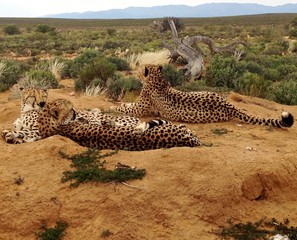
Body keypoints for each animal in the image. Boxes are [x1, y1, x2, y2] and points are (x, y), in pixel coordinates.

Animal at [111, 63, 294, 127]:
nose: (137, 67)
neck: (157, 78)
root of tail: (229, 106)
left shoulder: (140, 110)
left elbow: (126, 108)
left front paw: (113, 106)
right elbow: (126, 105)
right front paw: (117, 103)